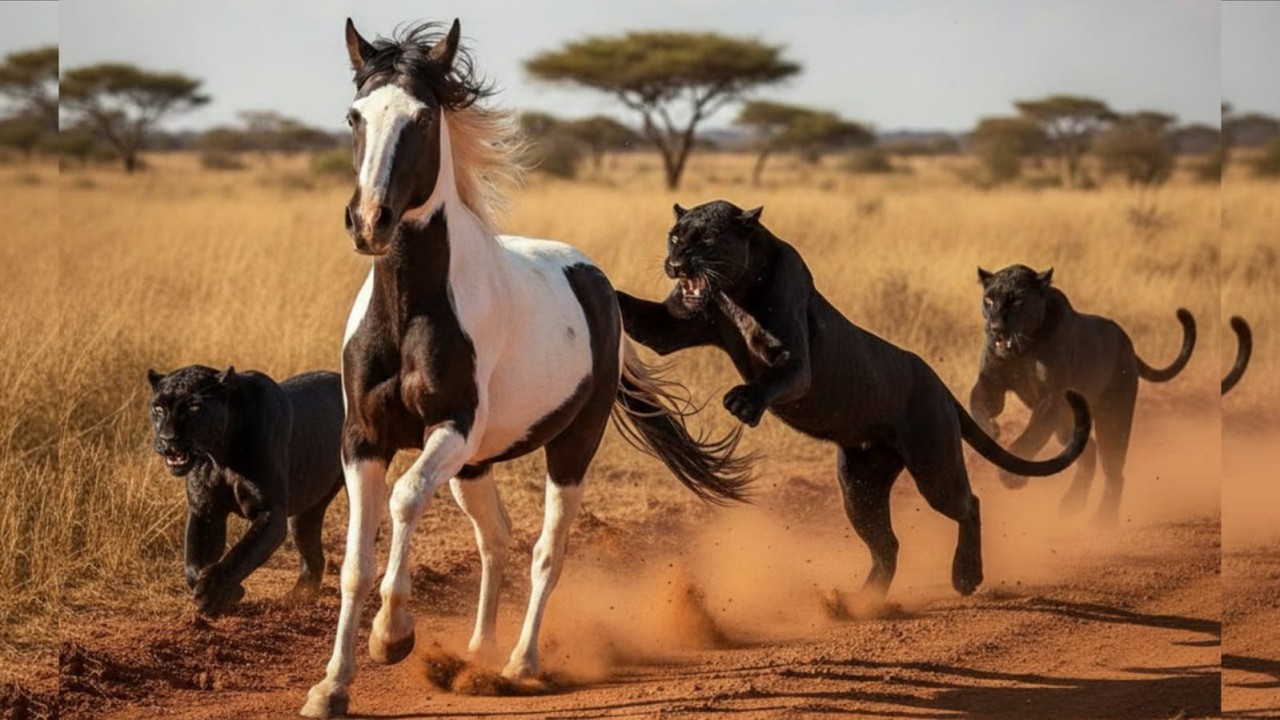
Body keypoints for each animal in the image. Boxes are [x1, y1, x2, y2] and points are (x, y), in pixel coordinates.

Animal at [301, 19, 752, 718]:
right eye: (355, 116)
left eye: (422, 118)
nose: (370, 221)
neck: (410, 310)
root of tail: (598, 283)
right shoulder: (364, 440)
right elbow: (354, 562)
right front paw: (331, 686)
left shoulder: (451, 428)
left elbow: (404, 500)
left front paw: (393, 635)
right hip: (475, 466)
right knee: (497, 538)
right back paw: (478, 652)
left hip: (568, 447)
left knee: (546, 550)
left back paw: (519, 662)